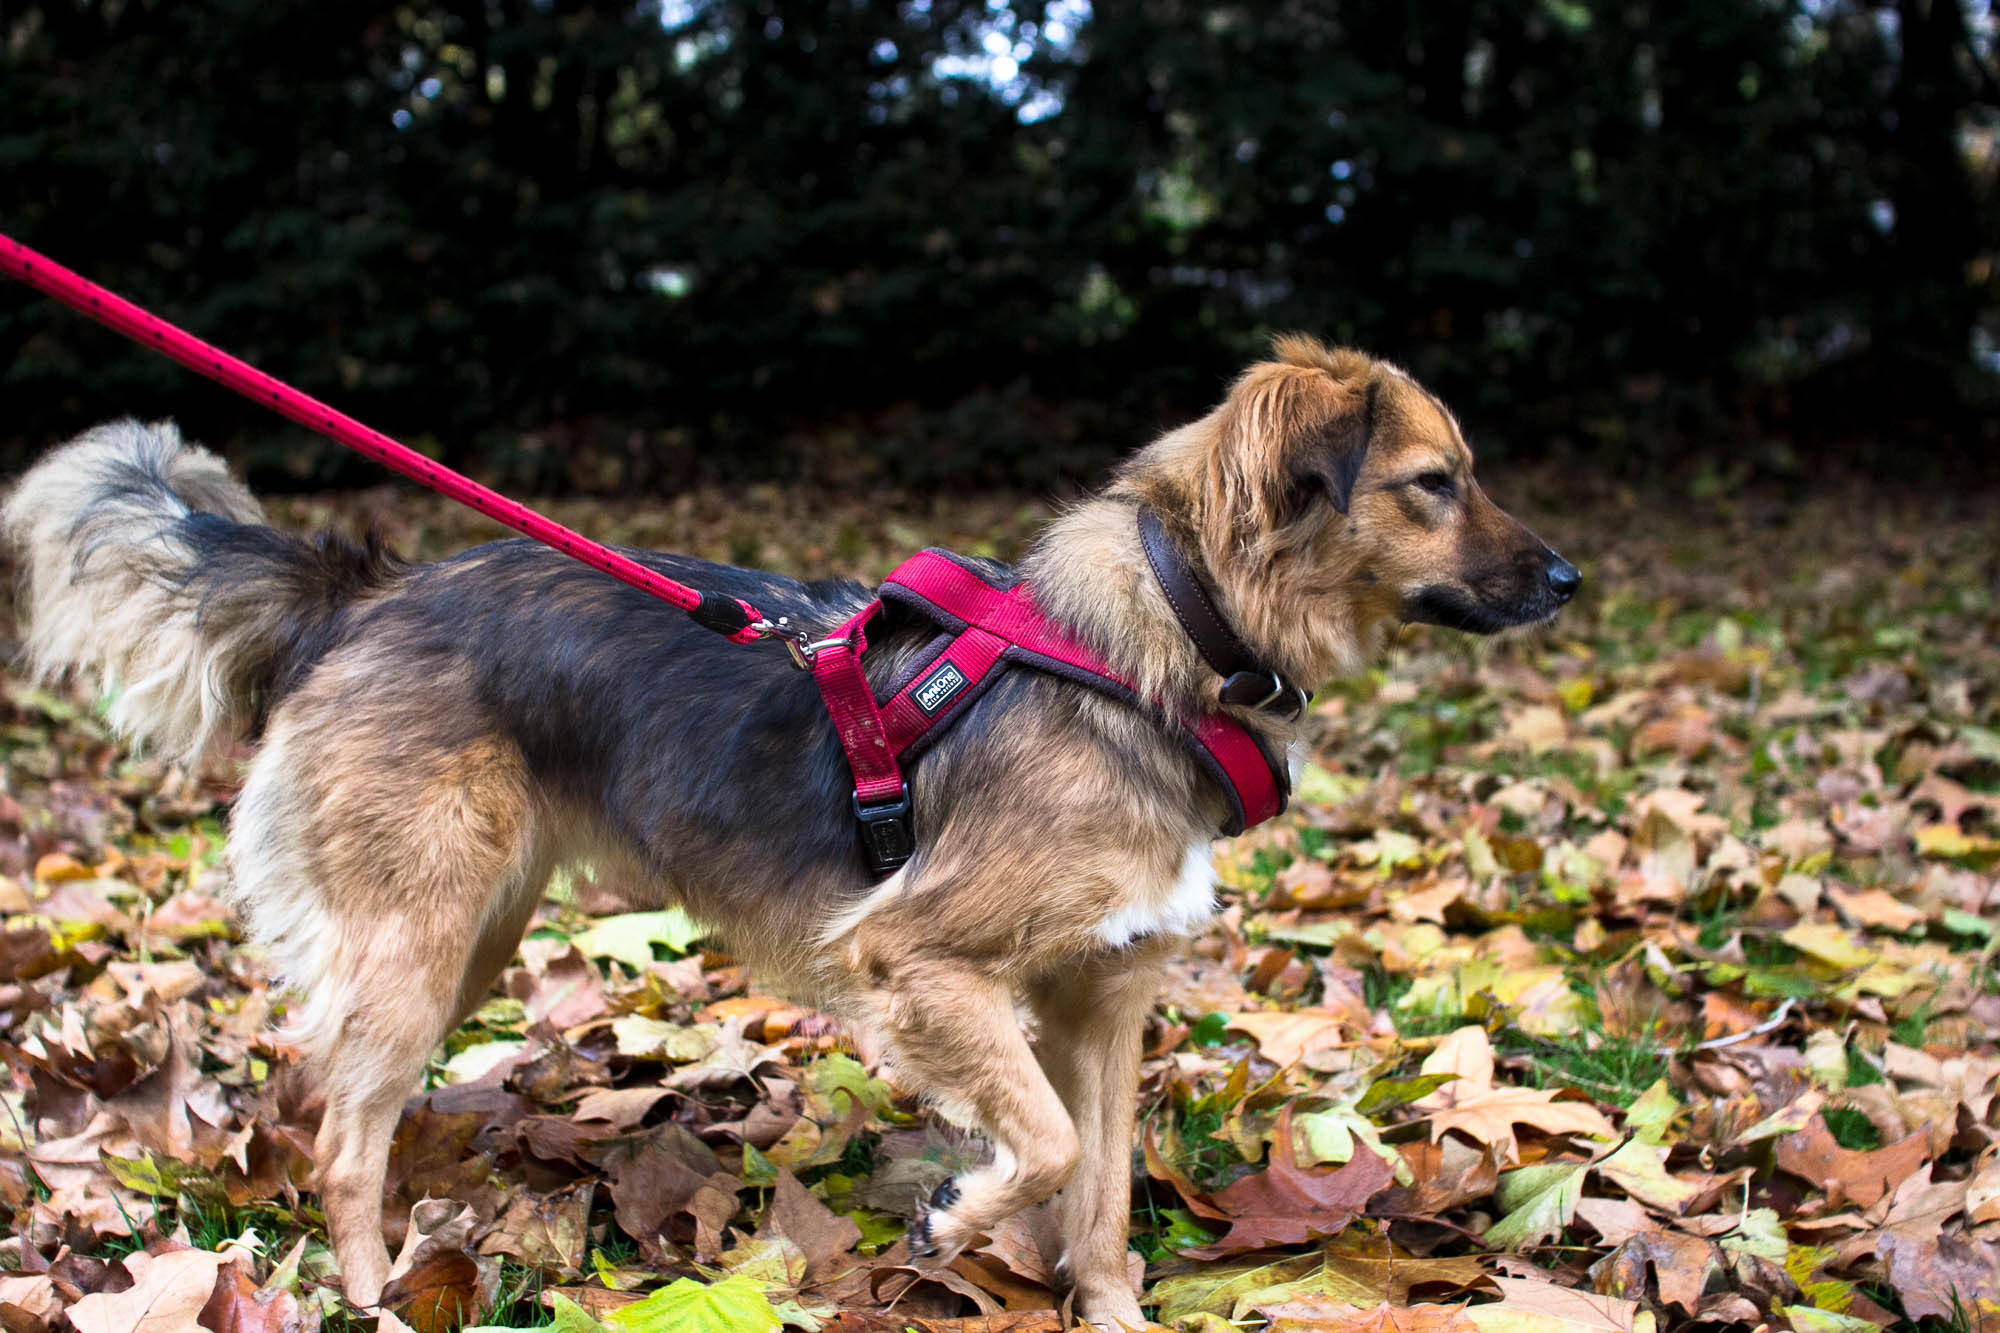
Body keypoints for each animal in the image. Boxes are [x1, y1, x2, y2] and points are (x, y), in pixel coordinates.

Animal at [0, 338, 1576, 1320]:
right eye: (1433, 483)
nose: (1568, 579)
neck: (1155, 647)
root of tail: (365, 591)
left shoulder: (1106, 991)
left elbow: (1104, 1190)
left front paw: (1105, 1303)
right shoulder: (918, 959)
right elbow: (1046, 1145)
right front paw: (954, 1219)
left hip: (465, 941)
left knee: (319, 1087)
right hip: (419, 938)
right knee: (340, 1134)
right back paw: (378, 1287)